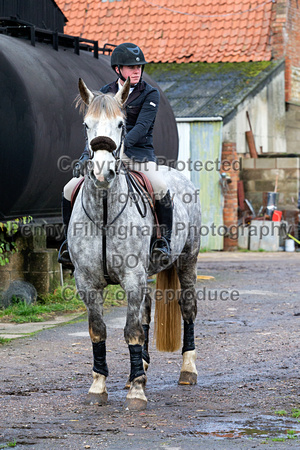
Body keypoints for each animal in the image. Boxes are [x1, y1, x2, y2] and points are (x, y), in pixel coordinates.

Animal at [68, 78, 202, 412]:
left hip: (187, 262)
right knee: (146, 311)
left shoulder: (131, 277)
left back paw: (187, 370)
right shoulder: (86, 281)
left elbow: (131, 331)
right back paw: (138, 369)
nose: (102, 171)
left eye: (121, 124)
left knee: (187, 308)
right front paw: (99, 386)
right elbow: (98, 330)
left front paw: (137, 393)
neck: (104, 210)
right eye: (86, 125)